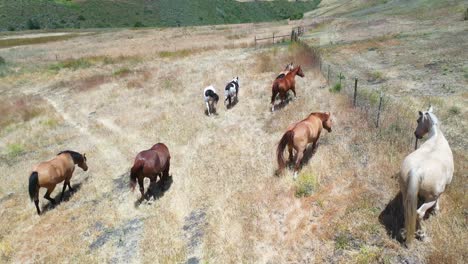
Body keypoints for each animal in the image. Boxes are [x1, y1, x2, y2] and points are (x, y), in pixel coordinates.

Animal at [398, 105, 454, 245]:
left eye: (418, 120)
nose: (416, 134)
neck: (437, 137)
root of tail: (417, 170)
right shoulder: (440, 191)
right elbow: (439, 198)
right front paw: (436, 210)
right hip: (430, 198)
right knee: (419, 213)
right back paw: (422, 234)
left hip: (405, 192)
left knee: (408, 210)